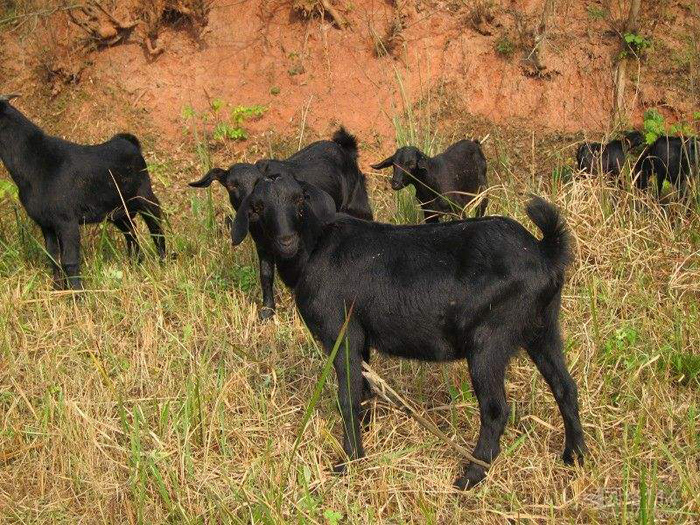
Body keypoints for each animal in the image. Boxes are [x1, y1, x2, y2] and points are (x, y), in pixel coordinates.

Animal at [0, 94, 165, 290]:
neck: (35, 161)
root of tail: (129, 143)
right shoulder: (47, 225)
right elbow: (53, 258)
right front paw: (57, 290)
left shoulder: (67, 222)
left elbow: (69, 261)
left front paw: (78, 293)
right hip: (118, 212)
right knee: (131, 232)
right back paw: (135, 264)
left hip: (145, 197)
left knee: (156, 227)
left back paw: (164, 262)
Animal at [230, 174, 584, 490]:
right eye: (257, 207)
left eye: (299, 200)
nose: (286, 242)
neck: (315, 247)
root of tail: (544, 252)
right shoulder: (360, 337)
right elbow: (363, 389)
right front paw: (365, 433)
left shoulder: (340, 332)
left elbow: (347, 397)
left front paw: (349, 463)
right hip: (542, 327)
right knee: (565, 387)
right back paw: (574, 456)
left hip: (490, 338)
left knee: (496, 409)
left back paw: (471, 476)